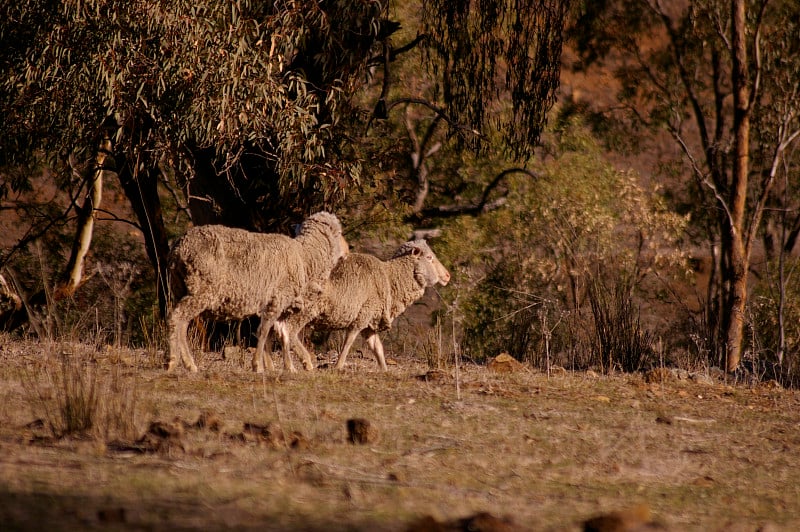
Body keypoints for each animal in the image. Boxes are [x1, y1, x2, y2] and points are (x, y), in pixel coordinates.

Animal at [166, 210, 346, 372]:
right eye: (339, 233)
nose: (347, 250)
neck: (304, 257)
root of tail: (180, 246)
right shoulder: (278, 299)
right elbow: (264, 332)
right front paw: (258, 365)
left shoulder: (277, 305)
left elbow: (282, 334)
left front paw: (286, 367)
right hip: (201, 288)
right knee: (178, 318)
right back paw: (175, 362)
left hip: (180, 288)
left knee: (182, 323)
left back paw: (187, 363)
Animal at [274, 239, 450, 372]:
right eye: (429, 257)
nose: (448, 276)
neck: (390, 279)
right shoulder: (362, 316)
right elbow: (349, 341)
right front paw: (338, 366)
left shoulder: (369, 322)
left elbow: (377, 347)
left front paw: (384, 370)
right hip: (305, 310)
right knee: (288, 331)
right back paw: (303, 363)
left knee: (276, 330)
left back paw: (278, 365)